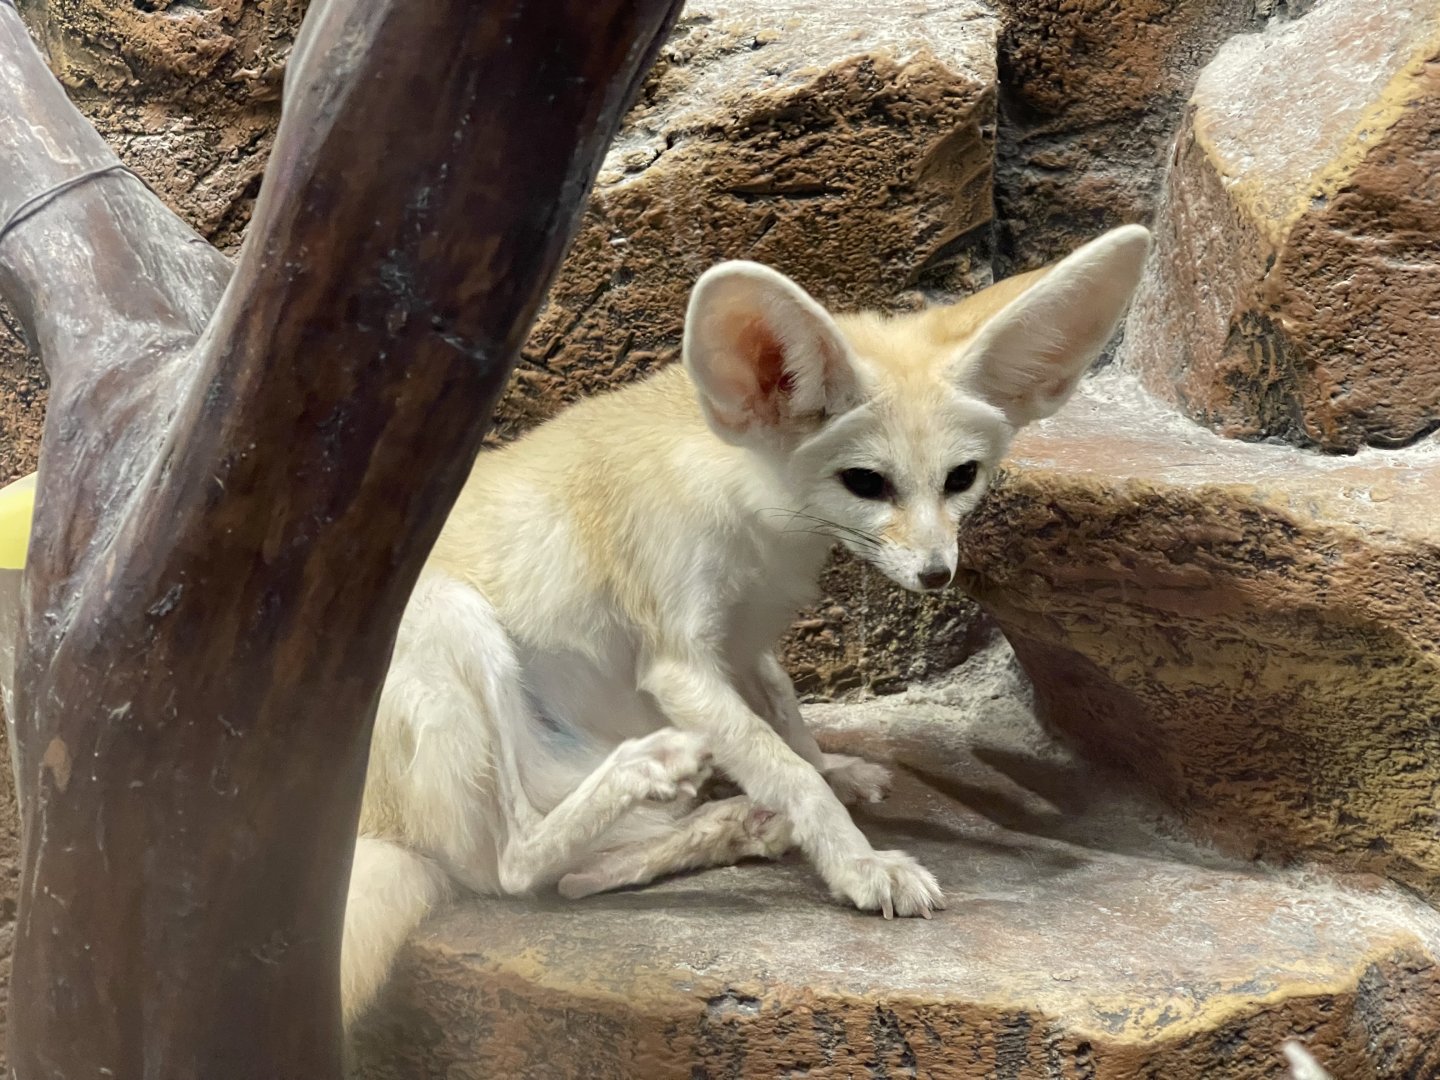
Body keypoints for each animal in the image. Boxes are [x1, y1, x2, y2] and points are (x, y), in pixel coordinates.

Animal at [340, 224, 1152, 1027]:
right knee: (510, 867)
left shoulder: (748, 638)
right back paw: (657, 774)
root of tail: (372, 828)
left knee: (572, 876)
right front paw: (859, 863)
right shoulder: (681, 664)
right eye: (866, 483)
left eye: (962, 478)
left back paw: (730, 824)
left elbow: (788, 720)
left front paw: (831, 773)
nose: (936, 575)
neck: (753, 505)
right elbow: (783, 764)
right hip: (450, 622)